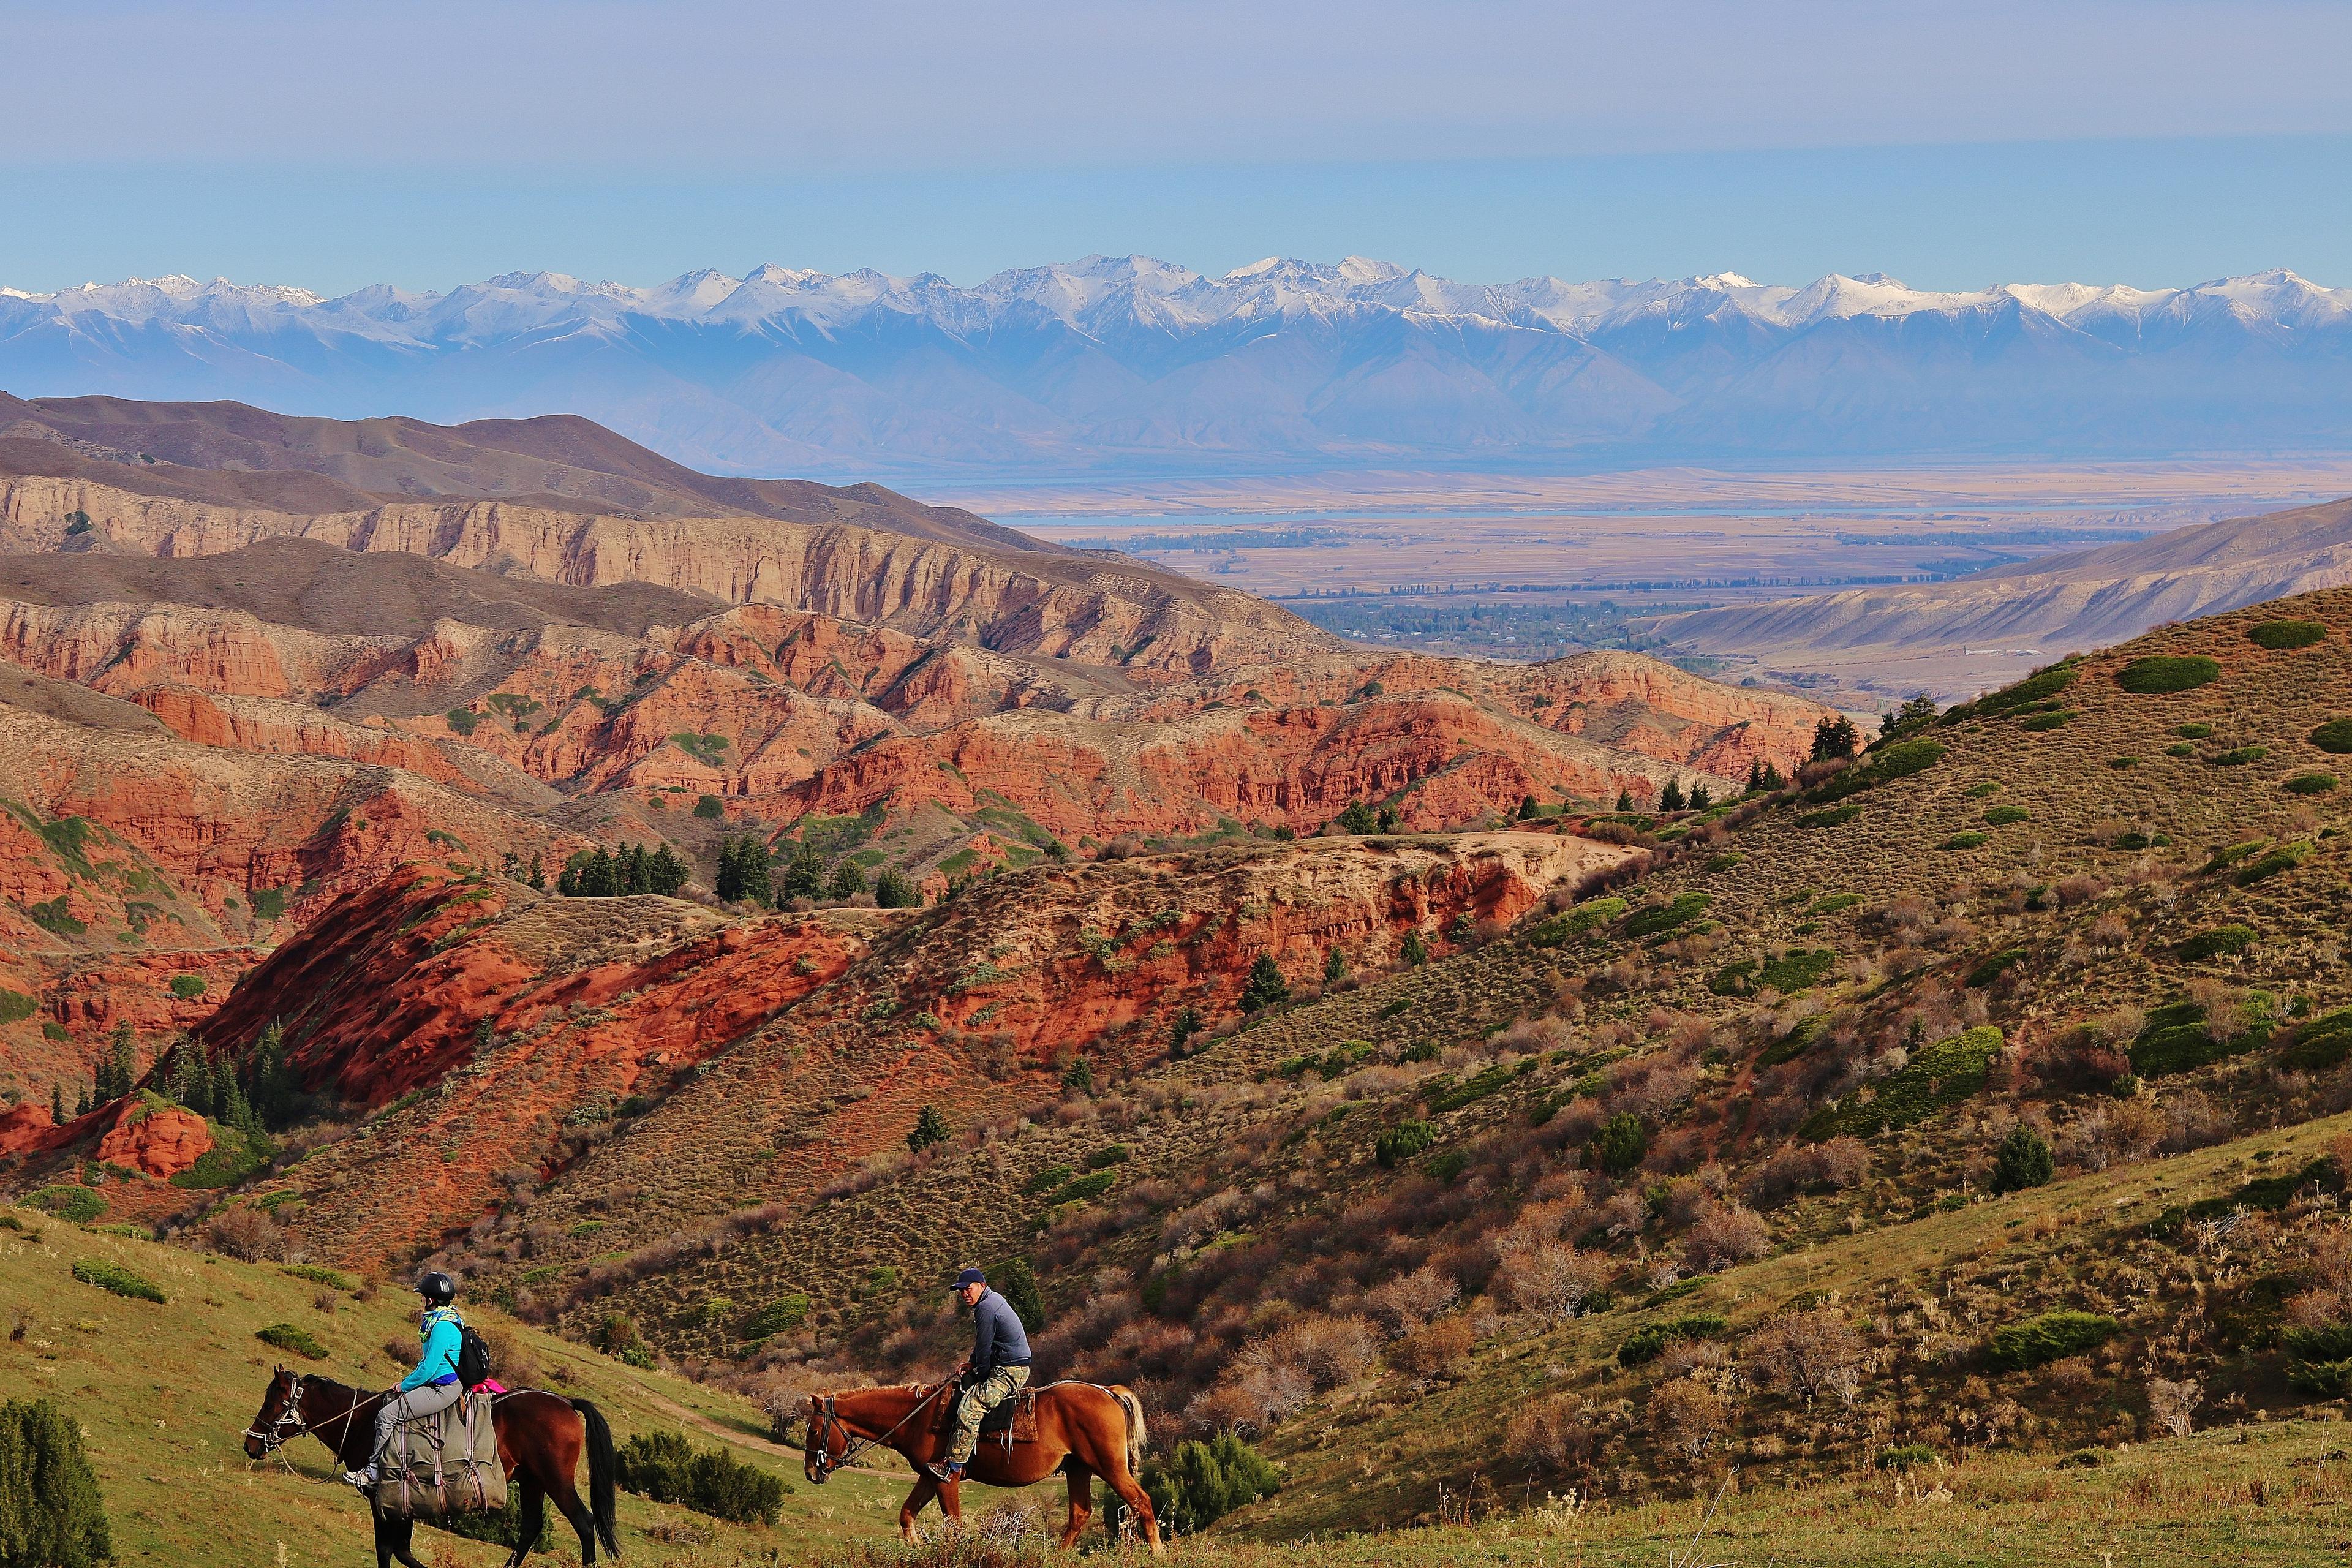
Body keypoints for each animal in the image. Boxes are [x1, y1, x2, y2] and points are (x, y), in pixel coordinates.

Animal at [244, 1363, 620, 1561]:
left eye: (273, 1403)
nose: (251, 1443)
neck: (364, 1422)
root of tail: (565, 1402)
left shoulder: (383, 1500)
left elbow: (390, 1550)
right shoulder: (402, 1503)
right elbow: (400, 1550)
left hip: (555, 1480)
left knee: (584, 1523)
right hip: (532, 1482)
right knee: (529, 1528)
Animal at [804, 1382, 1161, 1551]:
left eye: (813, 1430)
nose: (811, 1472)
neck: (919, 1416)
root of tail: (1109, 1393)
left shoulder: (946, 1480)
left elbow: (955, 1525)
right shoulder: (930, 1476)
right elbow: (907, 1515)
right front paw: (915, 1549)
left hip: (1110, 1467)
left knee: (1142, 1502)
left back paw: (1157, 1552)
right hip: (1078, 1469)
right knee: (1079, 1514)